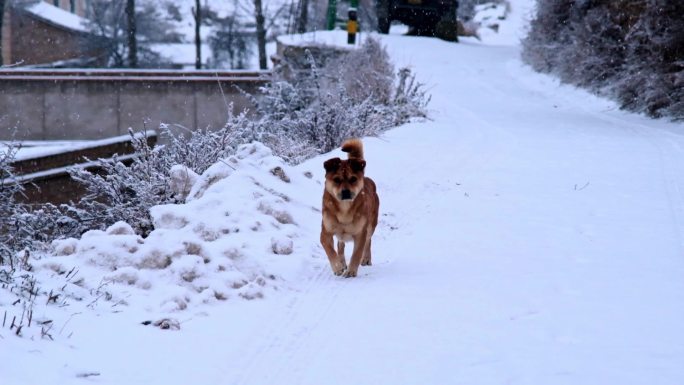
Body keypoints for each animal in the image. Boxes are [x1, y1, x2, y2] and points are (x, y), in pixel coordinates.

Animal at [320, 138, 380, 276]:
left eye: (353, 179)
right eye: (336, 179)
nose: (346, 192)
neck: (344, 209)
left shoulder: (360, 233)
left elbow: (356, 254)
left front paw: (351, 271)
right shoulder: (325, 232)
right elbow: (330, 250)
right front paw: (338, 267)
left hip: (371, 224)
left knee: (368, 241)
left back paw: (366, 259)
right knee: (340, 245)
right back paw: (342, 262)